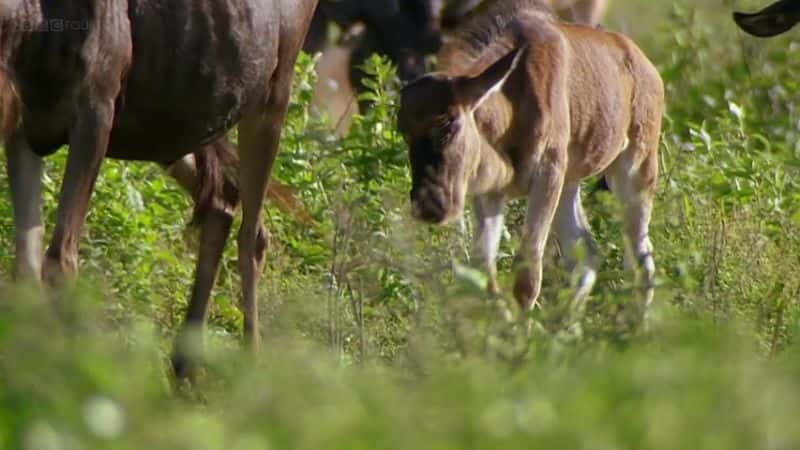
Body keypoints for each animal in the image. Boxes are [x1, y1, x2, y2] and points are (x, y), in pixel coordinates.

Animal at [0, 0, 318, 380]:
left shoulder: (97, 102)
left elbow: (60, 259)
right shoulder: (22, 127)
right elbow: (26, 268)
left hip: (273, 90)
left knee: (252, 234)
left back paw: (250, 369)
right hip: (170, 128)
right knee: (223, 196)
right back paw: (184, 367)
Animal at [398, 0, 664, 310]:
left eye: (449, 122)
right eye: (403, 129)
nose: (429, 206)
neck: (513, 95)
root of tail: (644, 65)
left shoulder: (546, 177)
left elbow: (527, 275)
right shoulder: (491, 194)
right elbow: (482, 270)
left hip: (635, 173)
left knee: (640, 258)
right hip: (570, 184)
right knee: (586, 255)